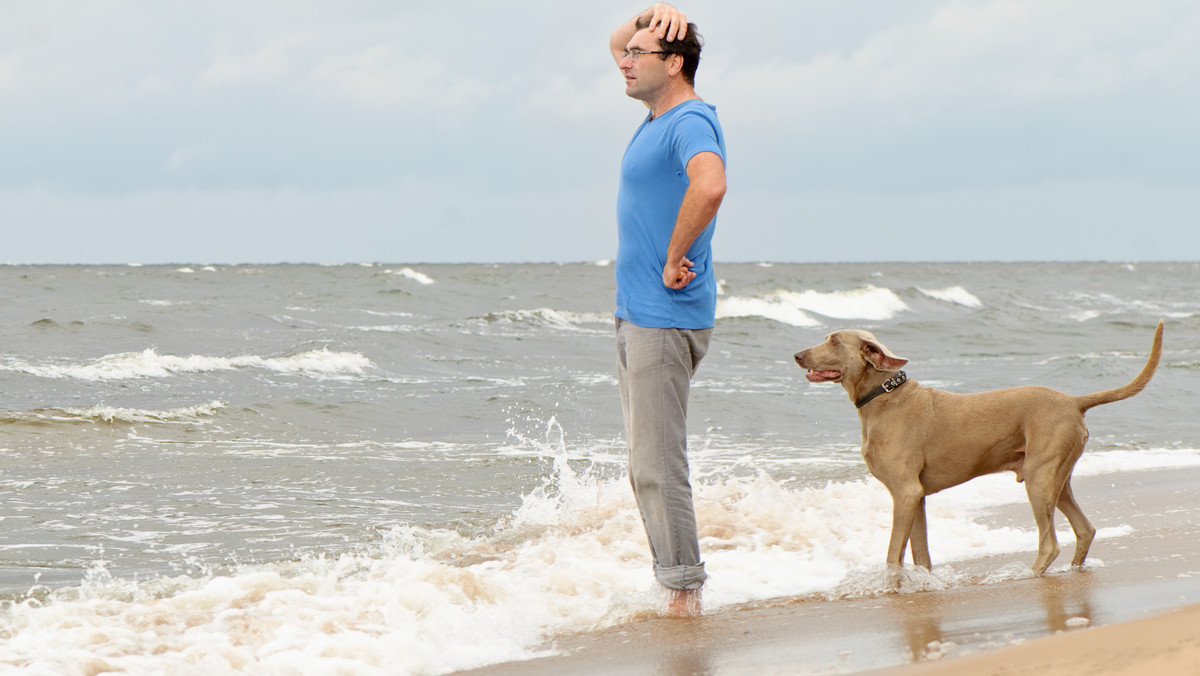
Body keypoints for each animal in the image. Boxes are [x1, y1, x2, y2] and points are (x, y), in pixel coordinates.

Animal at [796, 321, 1161, 576]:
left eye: (834, 340)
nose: (797, 355)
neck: (883, 396)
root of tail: (1073, 401)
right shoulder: (916, 497)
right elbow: (920, 554)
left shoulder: (905, 492)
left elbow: (892, 555)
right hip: (1057, 477)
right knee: (1084, 530)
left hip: (1039, 478)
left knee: (1050, 543)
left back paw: (1027, 575)